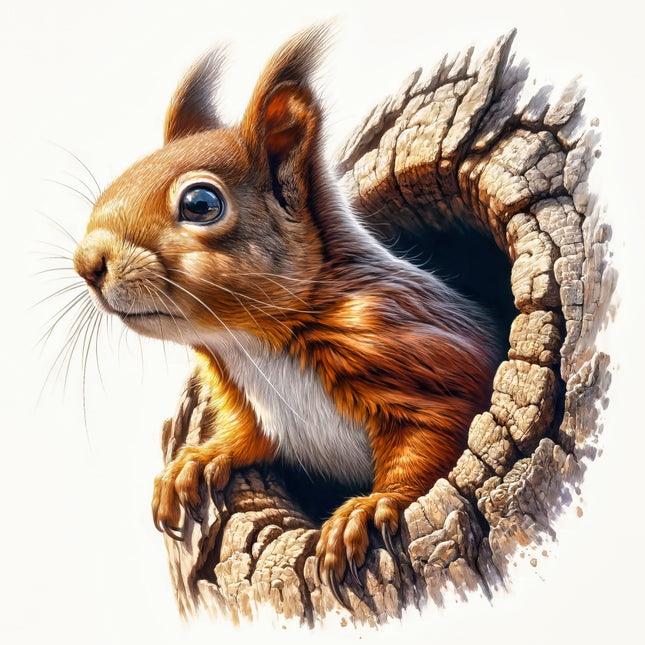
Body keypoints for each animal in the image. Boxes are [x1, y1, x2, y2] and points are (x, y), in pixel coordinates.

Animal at [72, 24, 498, 600]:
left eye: (201, 204)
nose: (87, 263)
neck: (252, 345)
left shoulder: (416, 353)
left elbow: (434, 439)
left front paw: (368, 508)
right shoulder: (256, 409)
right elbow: (250, 438)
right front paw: (197, 461)